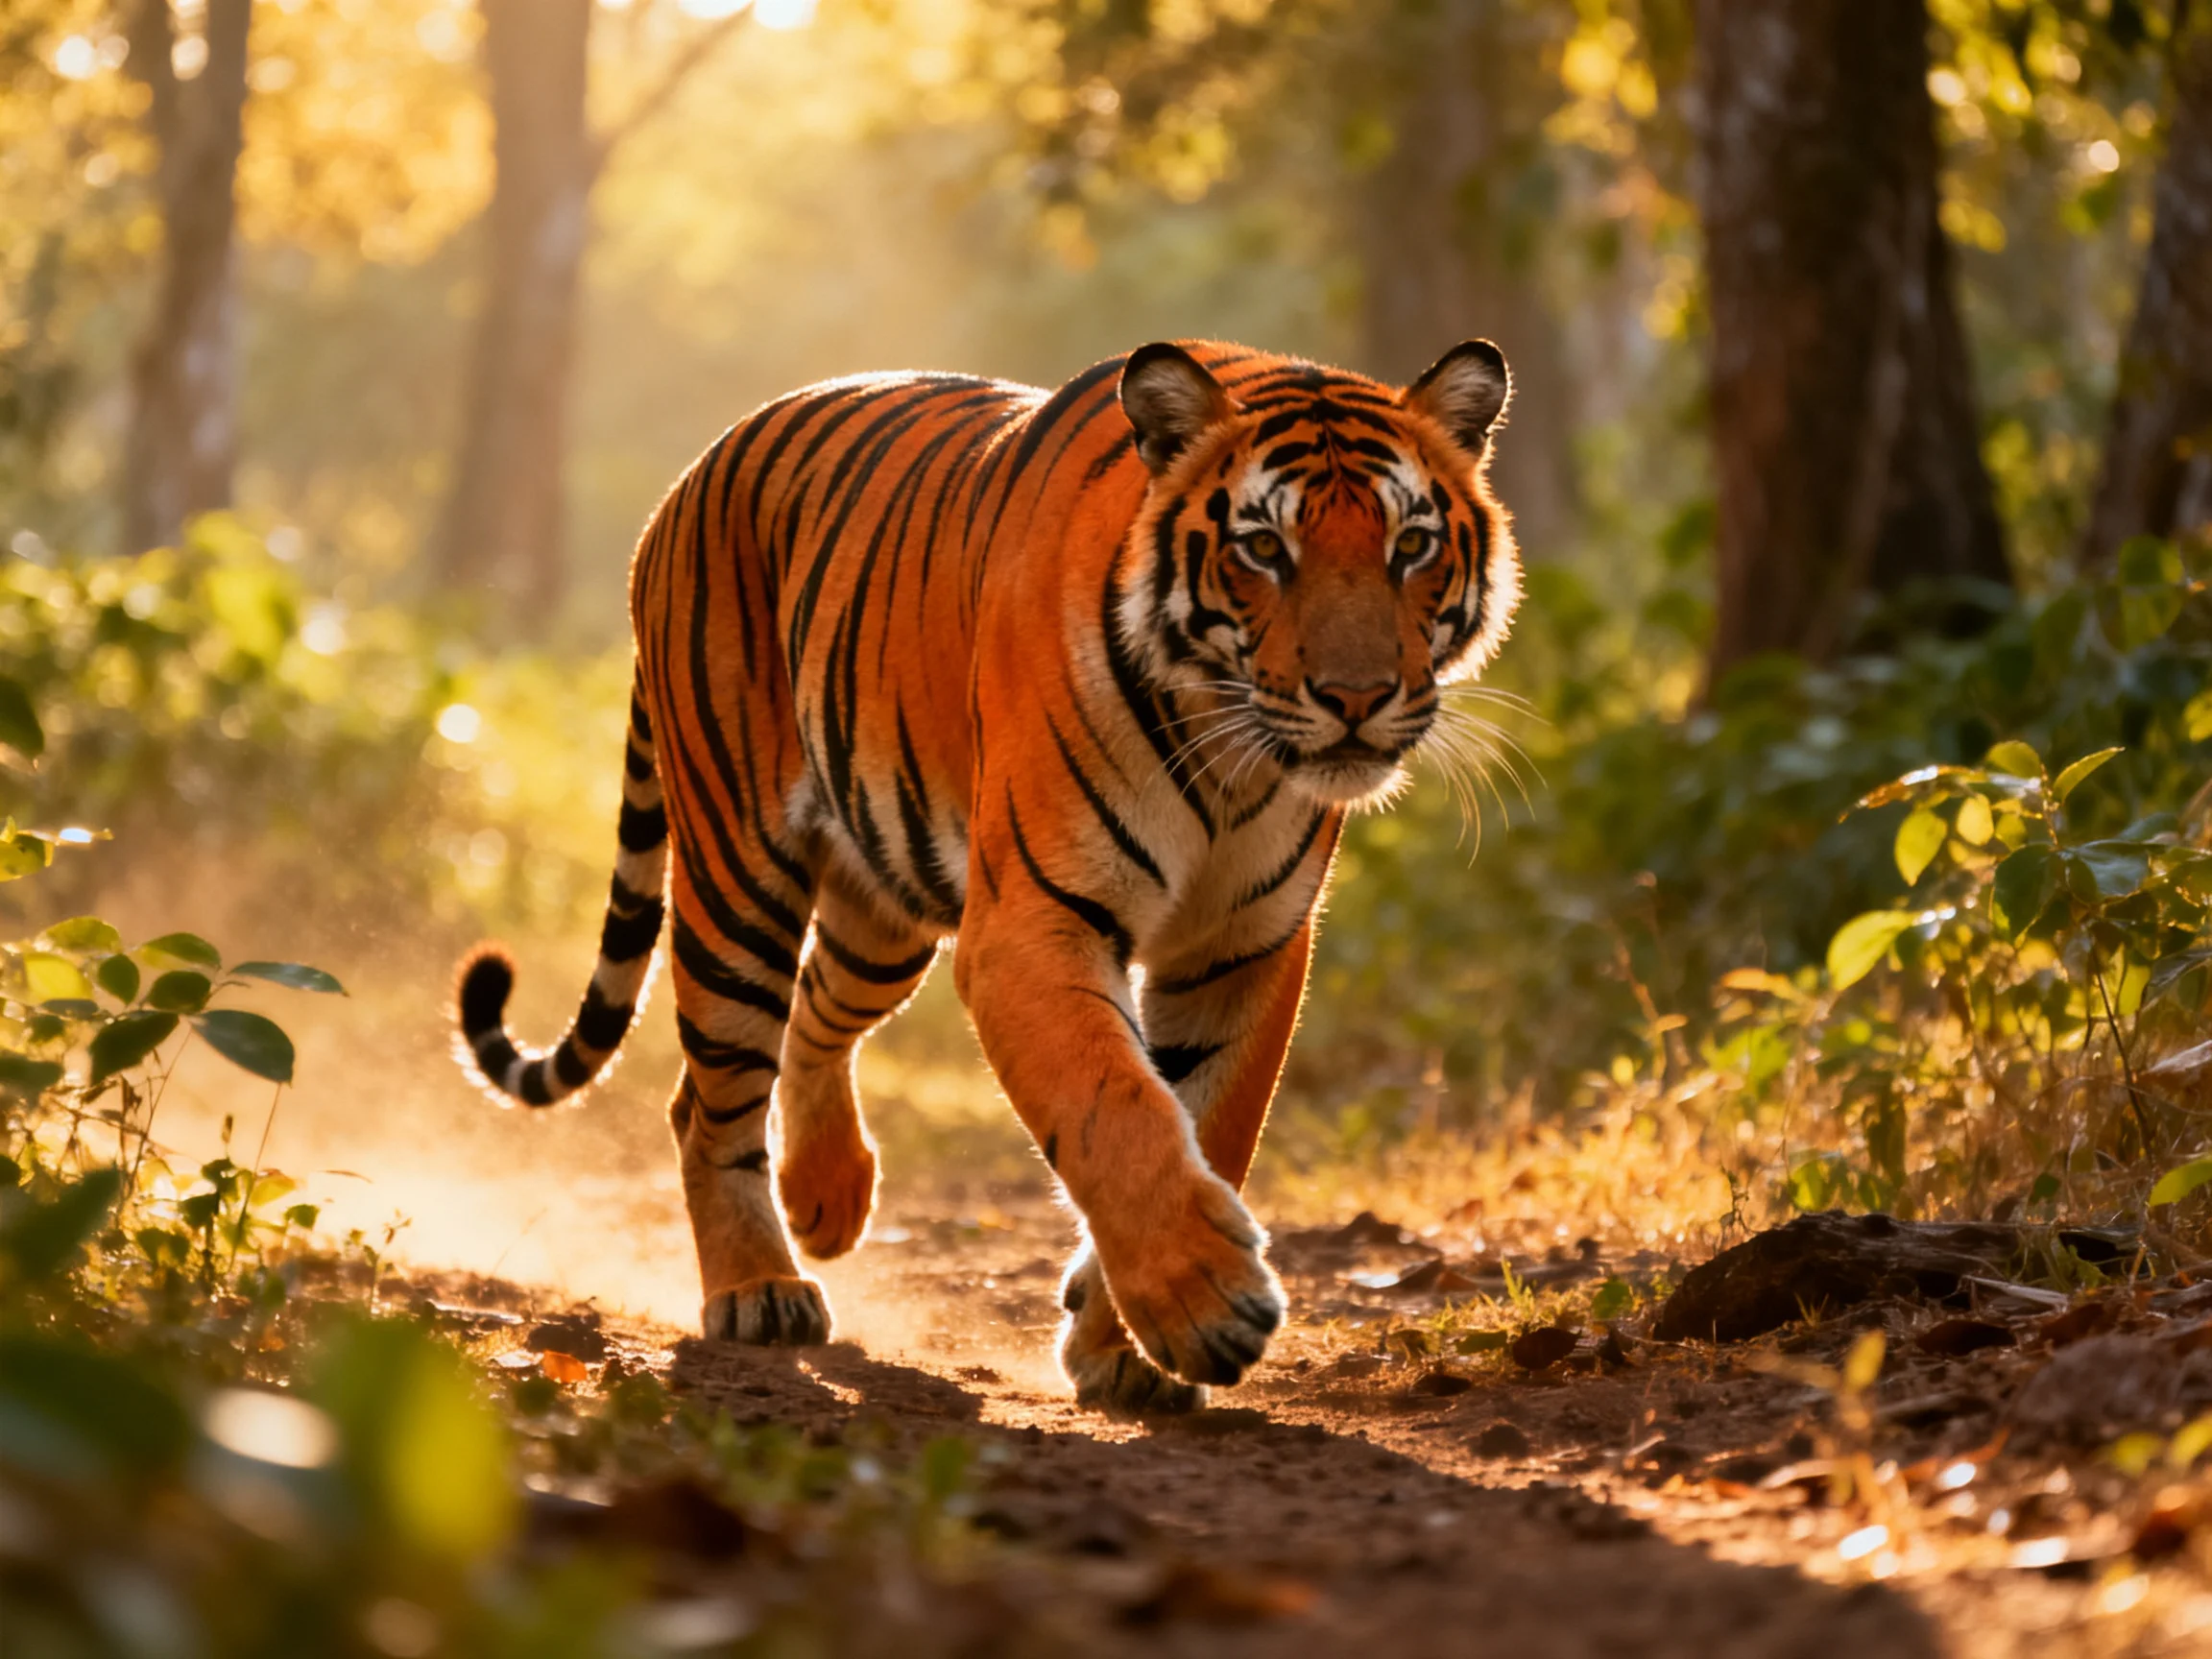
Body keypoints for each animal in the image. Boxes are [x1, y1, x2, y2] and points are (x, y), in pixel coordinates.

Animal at [453, 339, 1521, 1411]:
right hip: (736, 875)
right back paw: (758, 1290)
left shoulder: (1241, 949)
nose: (1356, 698)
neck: (1227, 752)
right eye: (1262, 548)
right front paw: (1205, 1302)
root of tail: (685, 483)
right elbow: (1116, 1111)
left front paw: (1125, 1347)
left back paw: (827, 1196)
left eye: (1411, 545)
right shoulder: (1035, 925)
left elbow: (1209, 1119)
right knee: (710, 1093)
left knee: (811, 1020)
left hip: (886, 909)